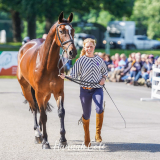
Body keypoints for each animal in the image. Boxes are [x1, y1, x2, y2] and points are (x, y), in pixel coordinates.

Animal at [17, 12, 77, 149]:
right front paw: (45, 141)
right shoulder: (38, 93)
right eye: (61, 30)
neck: (47, 64)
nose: (72, 52)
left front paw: (63, 140)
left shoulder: (58, 92)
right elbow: (43, 115)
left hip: (47, 94)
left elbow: (61, 112)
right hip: (27, 89)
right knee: (34, 108)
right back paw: (38, 135)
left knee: (40, 108)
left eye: (73, 30)